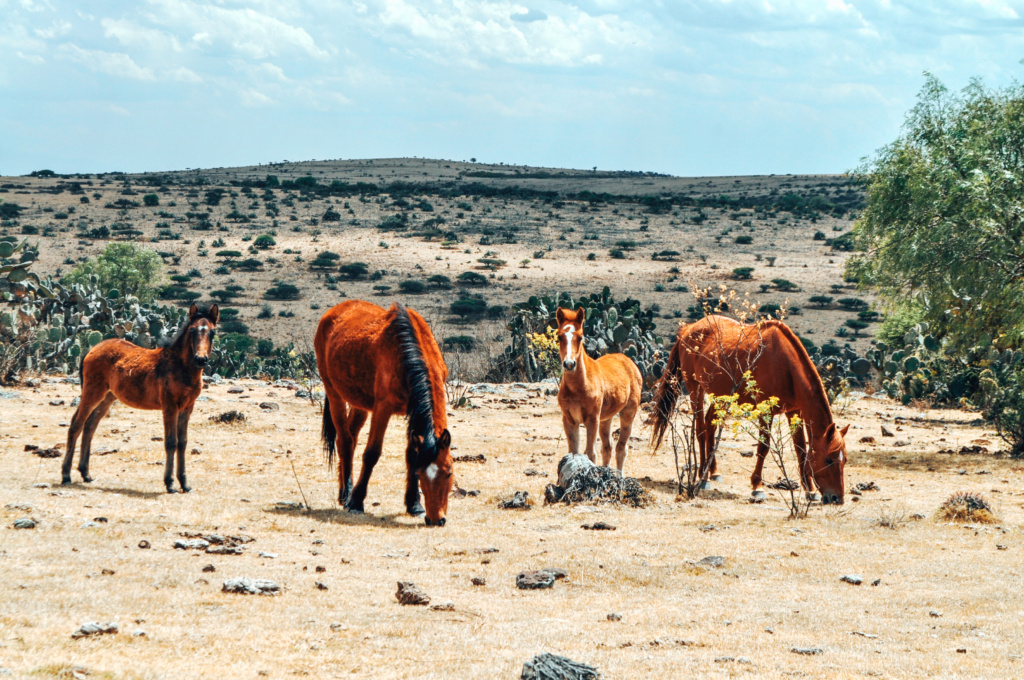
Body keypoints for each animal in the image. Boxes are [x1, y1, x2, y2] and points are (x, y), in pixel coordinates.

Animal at [62, 303, 219, 493]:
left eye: (212, 332)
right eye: (192, 331)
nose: (201, 359)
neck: (181, 367)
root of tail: (91, 350)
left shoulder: (188, 407)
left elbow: (182, 443)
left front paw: (185, 483)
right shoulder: (170, 406)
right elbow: (171, 442)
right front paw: (170, 483)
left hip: (107, 397)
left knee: (89, 426)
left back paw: (86, 474)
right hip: (92, 393)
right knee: (76, 425)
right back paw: (66, 476)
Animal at [315, 300, 453, 526]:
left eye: (449, 472)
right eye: (422, 473)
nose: (436, 519)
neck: (408, 354)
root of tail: (334, 311)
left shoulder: (412, 411)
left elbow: (411, 454)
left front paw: (414, 505)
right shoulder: (383, 408)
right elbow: (372, 453)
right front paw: (356, 502)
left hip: (360, 404)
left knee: (351, 438)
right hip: (334, 393)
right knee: (344, 441)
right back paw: (346, 494)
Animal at [555, 307, 642, 473]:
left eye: (580, 337)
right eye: (559, 337)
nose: (569, 364)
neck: (577, 388)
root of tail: (628, 360)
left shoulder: (592, 419)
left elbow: (590, 453)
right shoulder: (569, 419)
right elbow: (573, 453)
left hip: (628, 413)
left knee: (621, 449)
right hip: (606, 419)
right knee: (607, 448)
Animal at [650, 314, 849, 504]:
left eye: (845, 459)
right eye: (829, 459)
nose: (837, 499)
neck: (785, 366)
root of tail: (688, 329)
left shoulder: (794, 411)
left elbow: (801, 449)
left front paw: (811, 491)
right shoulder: (766, 411)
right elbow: (763, 447)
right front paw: (758, 487)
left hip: (720, 395)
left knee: (709, 426)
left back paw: (714, 471)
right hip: (695, 389)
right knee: (700, 429)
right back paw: (703, 476)